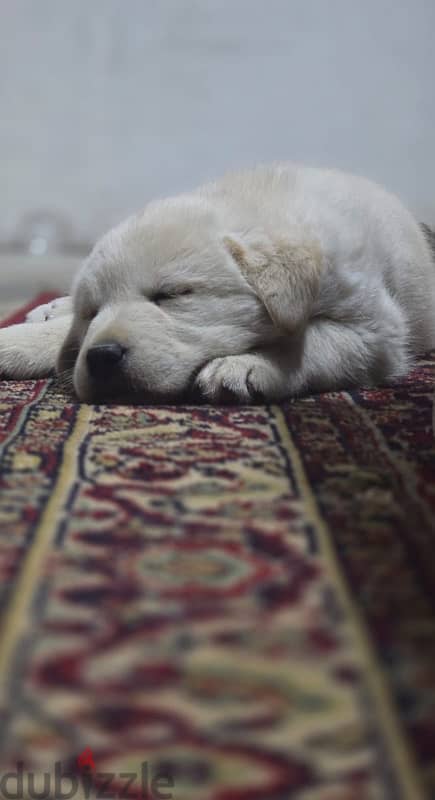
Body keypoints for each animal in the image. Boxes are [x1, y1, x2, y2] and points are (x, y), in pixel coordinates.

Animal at [0, 162, 435, 404]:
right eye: (92, 311)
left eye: (172, 295)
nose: (102, 356)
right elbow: (66, 335)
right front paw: (20, 339)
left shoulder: (376, 331)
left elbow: (316, 341)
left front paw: (244, 365)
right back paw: (48, 308)